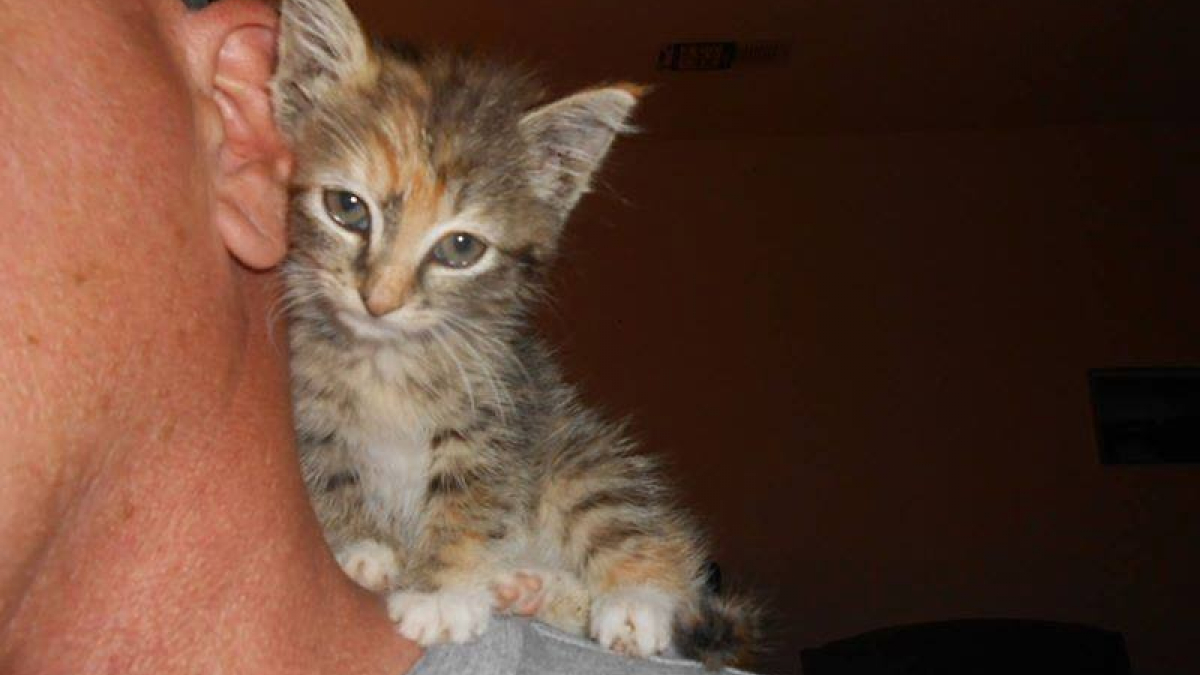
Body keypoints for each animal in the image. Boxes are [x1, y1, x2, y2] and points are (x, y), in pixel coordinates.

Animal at [273, 0, 758, 662]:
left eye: (459, 248)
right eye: (347, 208)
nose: (379, 300)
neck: (387, 360)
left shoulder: (500, 410)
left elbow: (473, 494)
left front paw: (443, 594)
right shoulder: (311, 408)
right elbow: (329, 468)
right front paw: (359, 546)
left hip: (576, 448)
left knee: (621, 511)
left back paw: (635, 599)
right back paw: (528, 588)